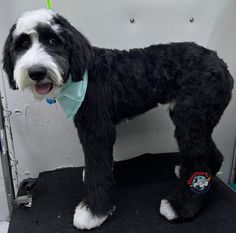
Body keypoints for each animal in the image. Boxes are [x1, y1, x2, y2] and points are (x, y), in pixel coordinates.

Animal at [2, 8, 234, 229]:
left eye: (52, 40)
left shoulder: (97, 128)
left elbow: (98, 170)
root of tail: (220, 63)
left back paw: (180, 206)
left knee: (200, 161)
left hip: (191, 118)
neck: (82, 72)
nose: (36, 72)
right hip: (195, 117)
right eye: (22, 44)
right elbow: (98, 165)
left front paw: (93, 212)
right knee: (213, 153)